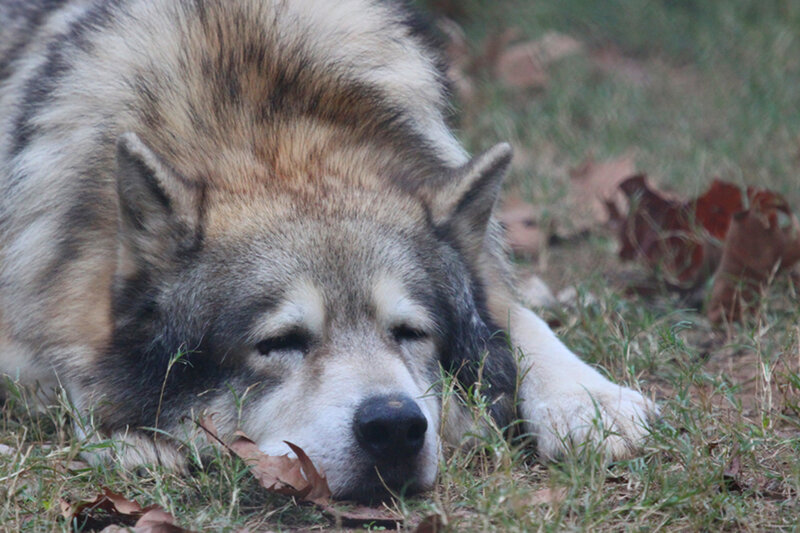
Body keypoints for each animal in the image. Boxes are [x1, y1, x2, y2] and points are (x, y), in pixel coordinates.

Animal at [0, 0, 656, 502]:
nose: (394, 426)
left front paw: (590, 402)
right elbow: (74, 370)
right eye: (279, 343)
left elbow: (522, 321)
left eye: (410, 333)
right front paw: (132, 438)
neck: (267, 121)